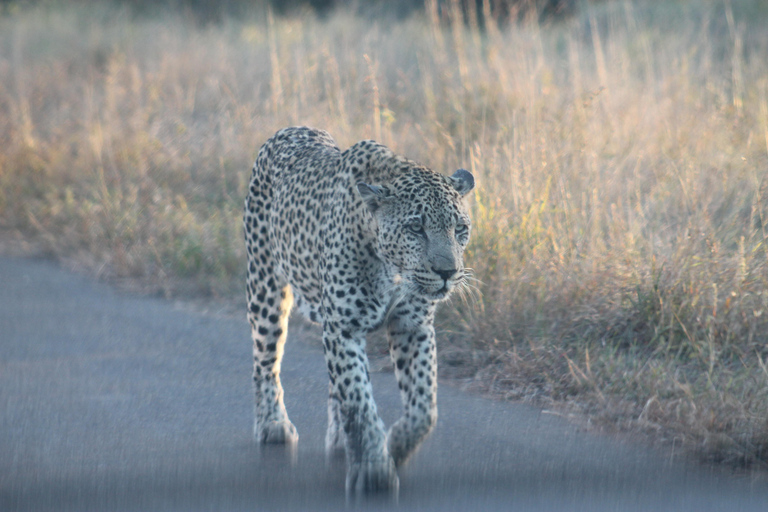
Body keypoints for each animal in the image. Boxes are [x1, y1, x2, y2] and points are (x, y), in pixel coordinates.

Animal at [244, 126, 474, 494]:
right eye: (416, 228)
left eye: (460, 229)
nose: (447, 272)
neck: (392, 269)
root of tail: (291, 129)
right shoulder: (344, 327)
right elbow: (359, 399)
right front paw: (375, 469)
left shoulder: (413, 326)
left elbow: (424, 406)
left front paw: (395, 445)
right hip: (265, 287)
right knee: (266, 362)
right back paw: (273, 424)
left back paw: (341, 439)